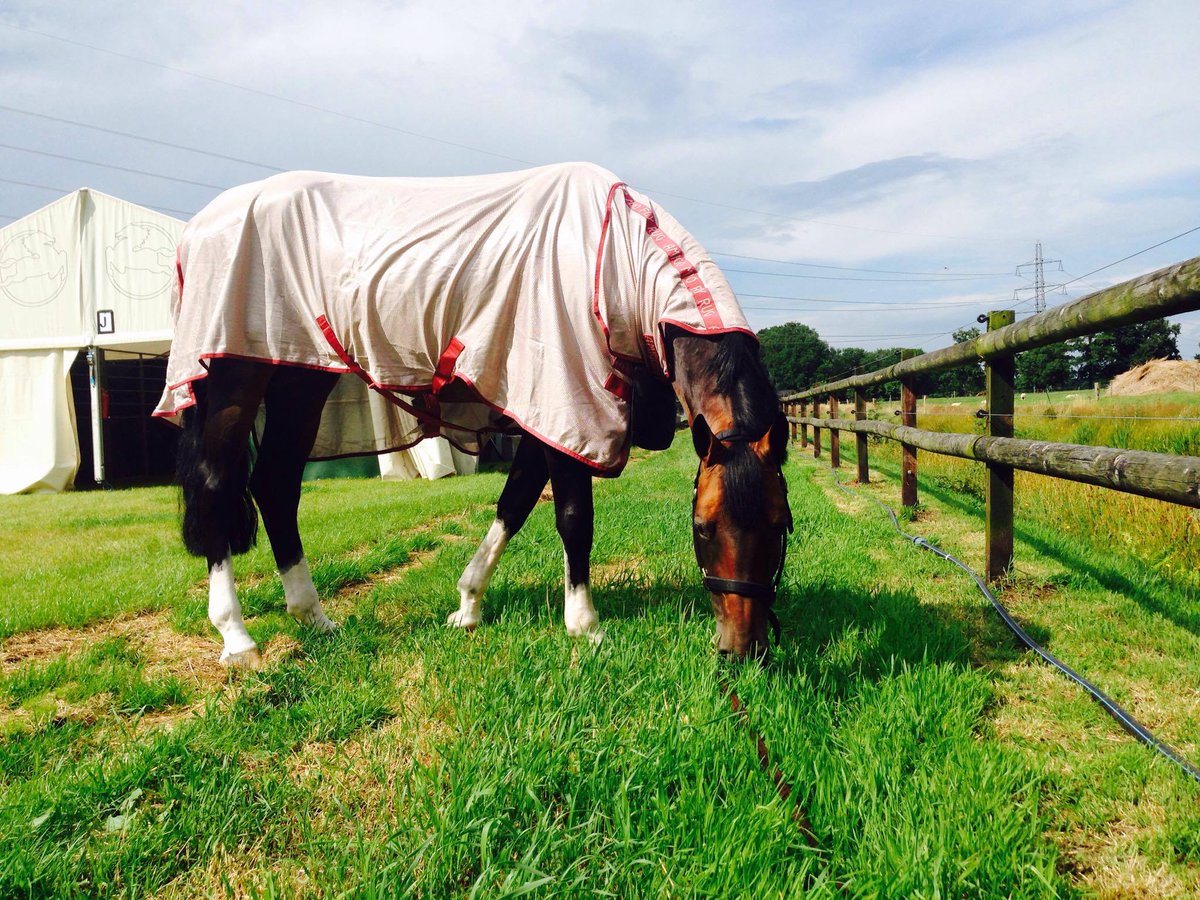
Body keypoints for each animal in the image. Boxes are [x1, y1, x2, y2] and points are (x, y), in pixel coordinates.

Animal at [158, 163, 792, 663]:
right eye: (703, 528)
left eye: (781, 525)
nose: (744, 649)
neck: (613, 261)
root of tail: (198, 229)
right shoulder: (568, 400)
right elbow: (572, 517)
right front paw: (585, 627)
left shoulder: (544, 414)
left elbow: (514, 503)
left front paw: (467, 606)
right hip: (235, 378)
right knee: (218, 486)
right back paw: (237, 638)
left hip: (300, 376)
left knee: (277, 485)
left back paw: (313, 616)